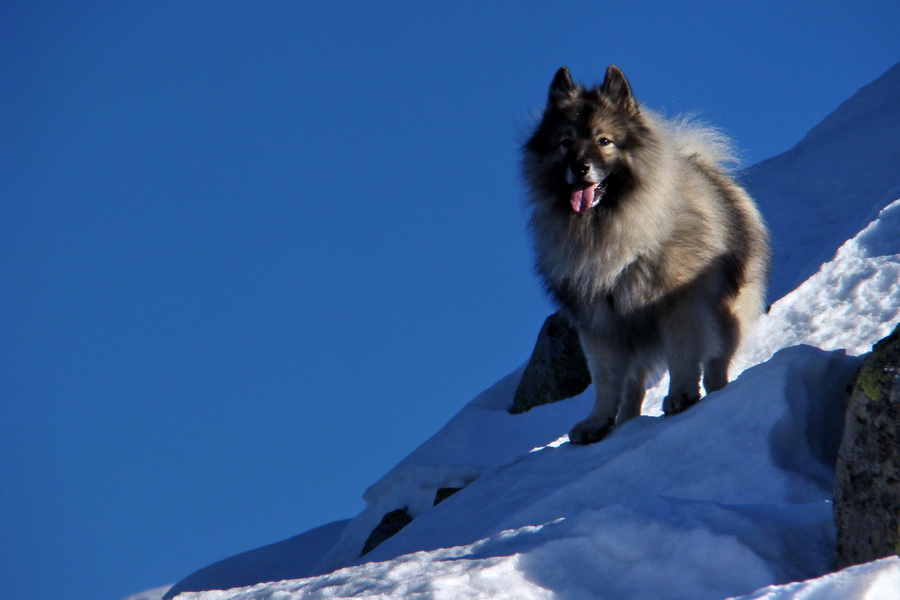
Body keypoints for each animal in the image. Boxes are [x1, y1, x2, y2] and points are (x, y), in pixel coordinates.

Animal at [524, 65, 768, 442]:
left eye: (604, 141)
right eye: (565, 142)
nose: (580, 167)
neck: (609, 231)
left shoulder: (678, 305)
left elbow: (682, 355)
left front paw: (681, 395)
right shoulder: (599, 323)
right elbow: (606, 382)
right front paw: (596, 421)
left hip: (727, 312)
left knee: (716, 362)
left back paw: (715, 392)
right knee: (633, 388)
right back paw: (625, 423)